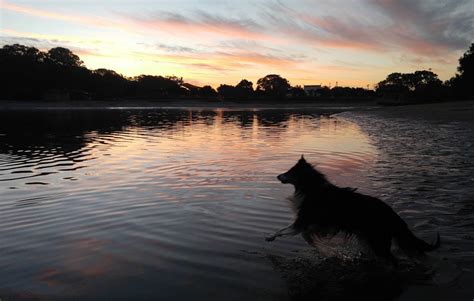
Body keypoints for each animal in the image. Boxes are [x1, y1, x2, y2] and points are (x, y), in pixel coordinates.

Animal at [266, 155, 440, 262]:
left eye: (290, 171)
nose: (277, 176)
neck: (311, 188)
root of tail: (392, 213)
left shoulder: (304, 220)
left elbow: (284, 230)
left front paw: (270, 237)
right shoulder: (316, 224)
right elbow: (306, 236)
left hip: (378, 240)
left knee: (392, 260)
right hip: (369, 239)